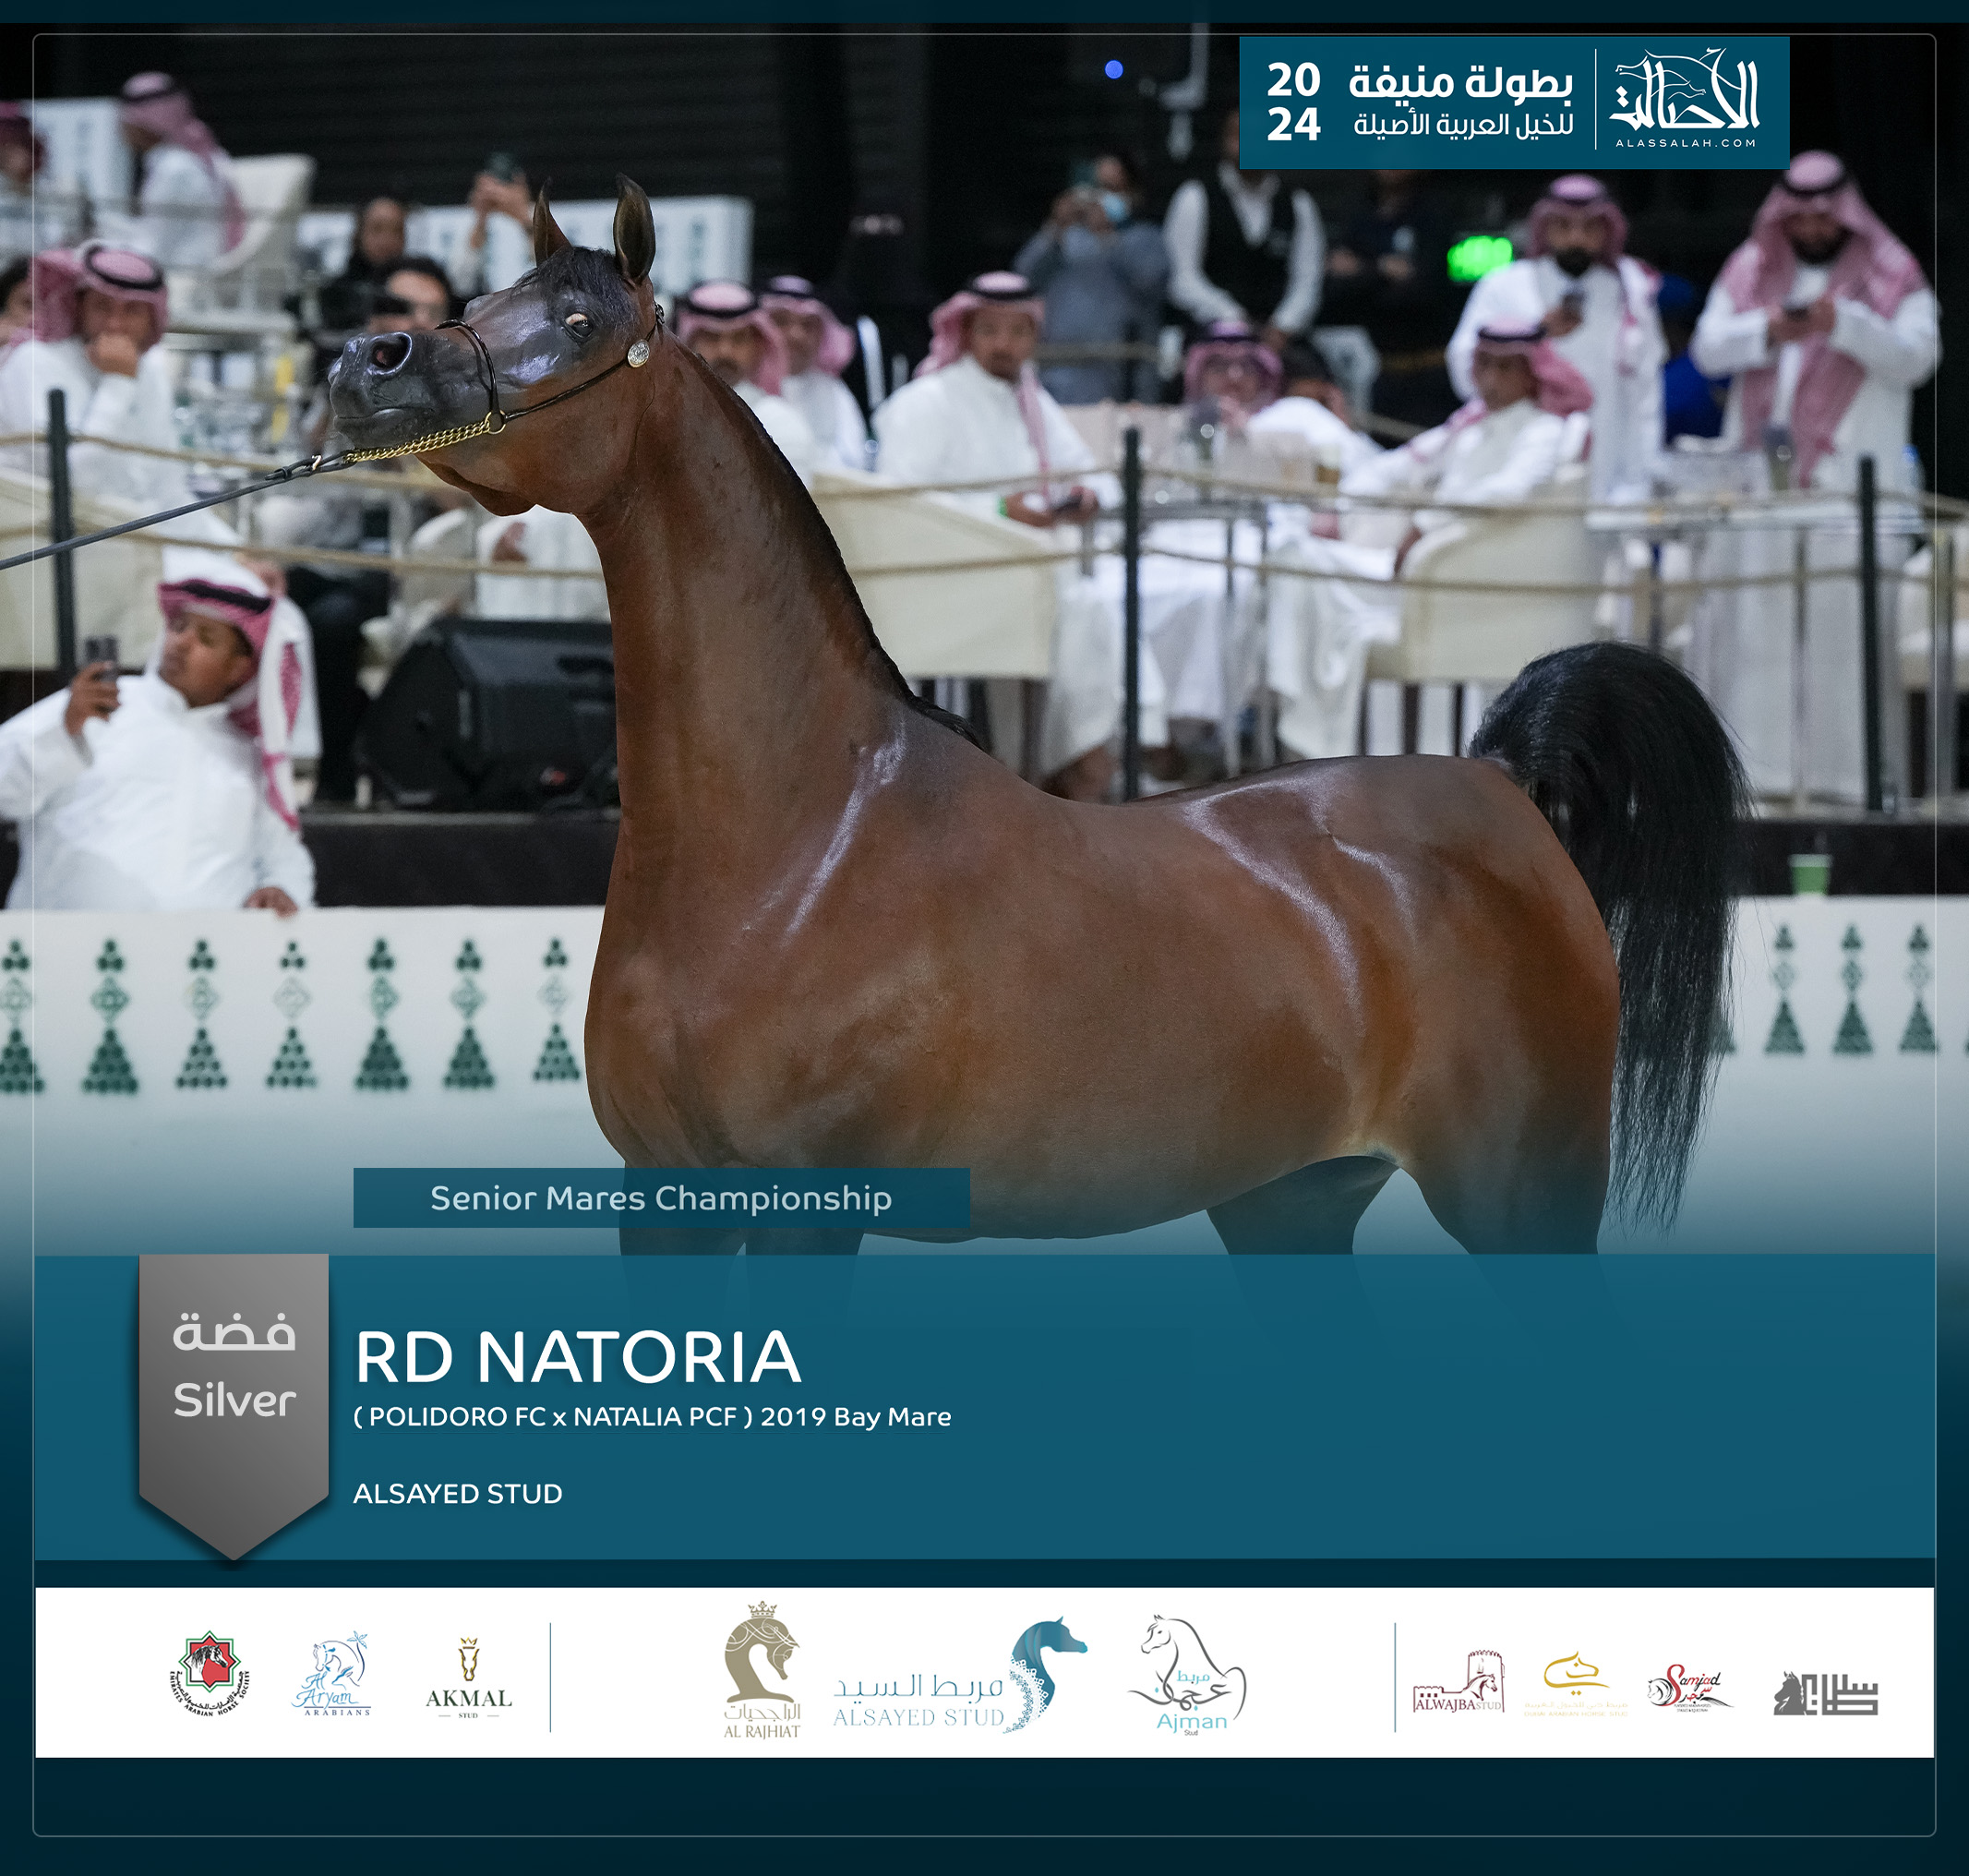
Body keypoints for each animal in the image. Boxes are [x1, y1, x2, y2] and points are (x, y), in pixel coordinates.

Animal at [328, 176, 1748, 1258]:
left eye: (576, 317)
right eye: (486, 299)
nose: (368, 362)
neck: (791, 844)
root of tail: (1497, 782)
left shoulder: (808, 1206)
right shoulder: (662, 1199)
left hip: (1522, 1201)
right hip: (1290, 1206)